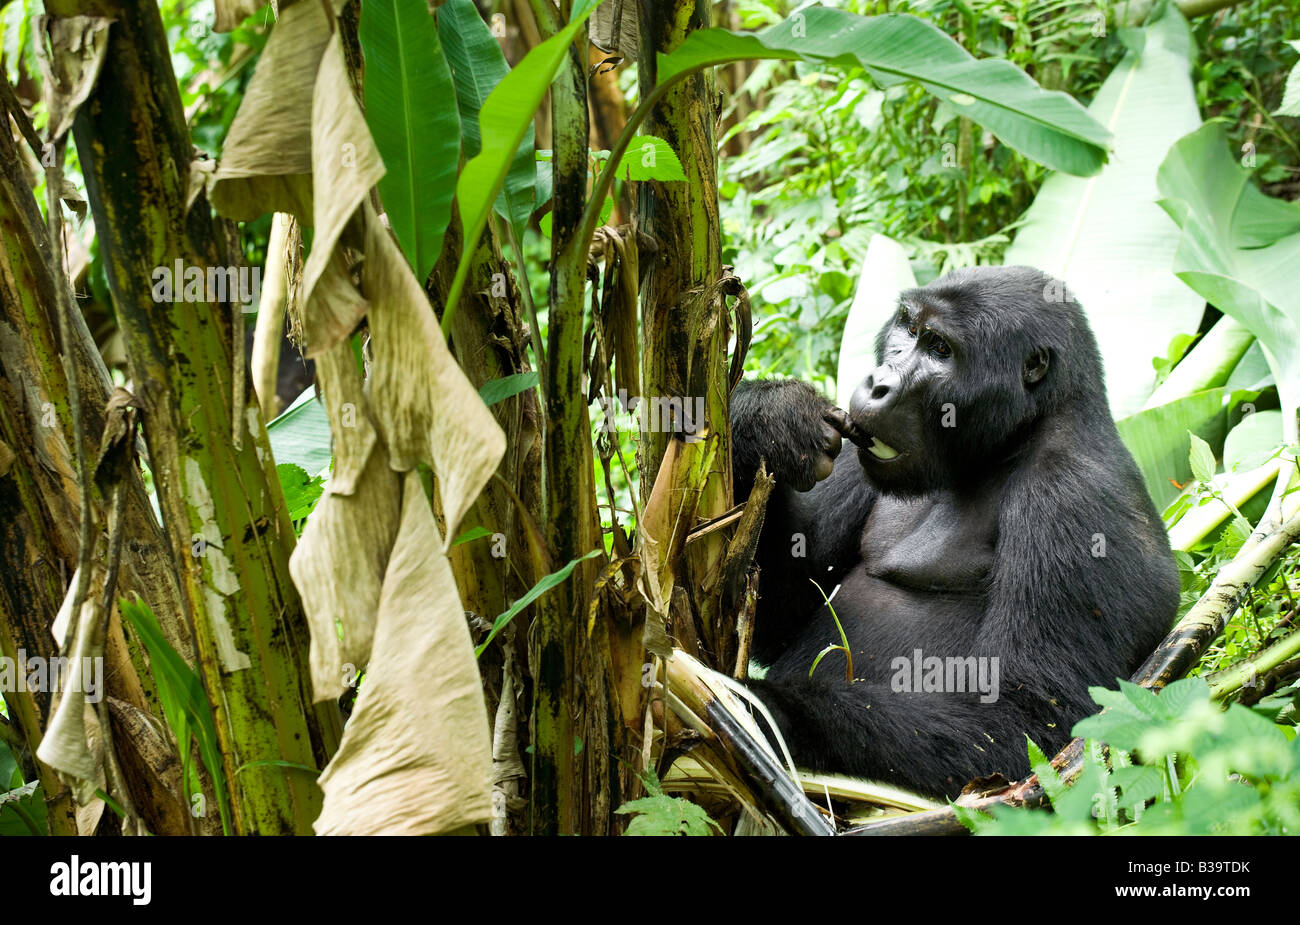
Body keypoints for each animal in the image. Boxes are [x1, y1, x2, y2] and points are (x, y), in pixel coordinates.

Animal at [733, 263, 1180, 800]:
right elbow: (781, 616)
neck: (1020, 433)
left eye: (940, 349)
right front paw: (765, 419)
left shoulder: (1074, 496)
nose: (877, 383)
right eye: (907, 328)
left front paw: (763, 708)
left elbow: (1030, 720)